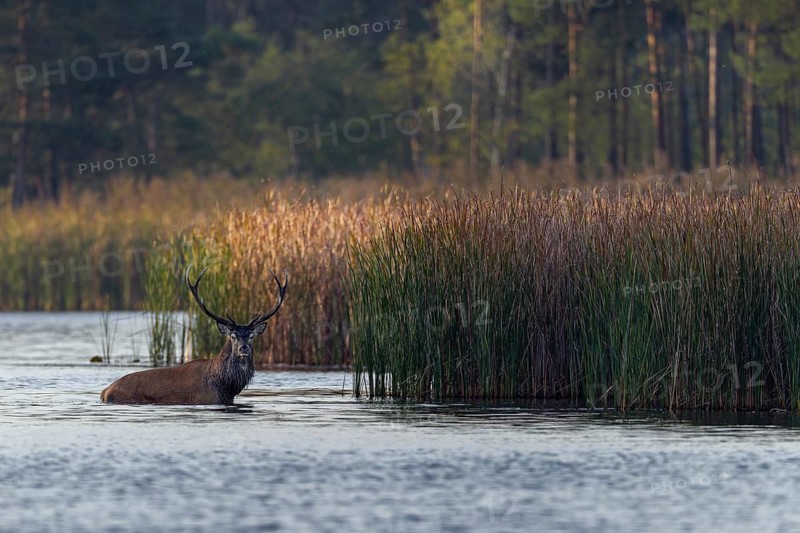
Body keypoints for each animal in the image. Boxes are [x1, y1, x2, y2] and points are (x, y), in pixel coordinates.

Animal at [100, 265, 288, 405]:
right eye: (233, 336)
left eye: (251, 336)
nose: (244, 348)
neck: (226, 386)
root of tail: (104, 392)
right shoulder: (207, 398)